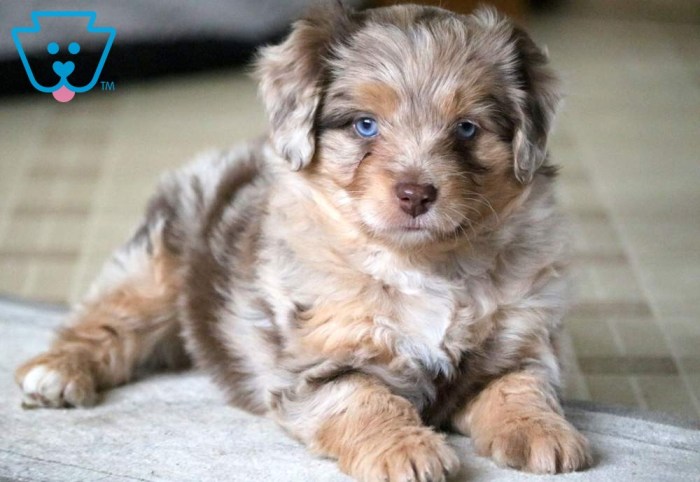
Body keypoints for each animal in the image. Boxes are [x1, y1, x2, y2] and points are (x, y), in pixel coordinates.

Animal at [16, 2, 592, 478]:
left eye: (467, 129)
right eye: (365, 125)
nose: (415, 194)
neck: (419, 263)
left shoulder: (519, 341)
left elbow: (521, 385)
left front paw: (544, 433)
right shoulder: (320, 361)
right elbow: (364, 399)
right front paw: (406, 451)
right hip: (153, 268)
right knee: (106, 320)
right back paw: (56, 372)